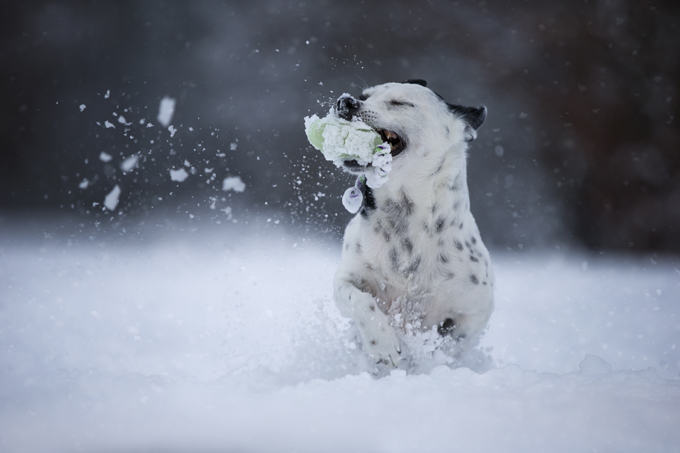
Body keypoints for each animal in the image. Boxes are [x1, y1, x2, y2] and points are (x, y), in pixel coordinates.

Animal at [334, 78, 494, 368]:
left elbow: (451, 346)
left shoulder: (477, 308)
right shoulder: (346, 279)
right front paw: (383, 344)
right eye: (364, 95)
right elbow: (361, 301)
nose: (345, 101)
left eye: (401, 103)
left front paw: (429, 363)